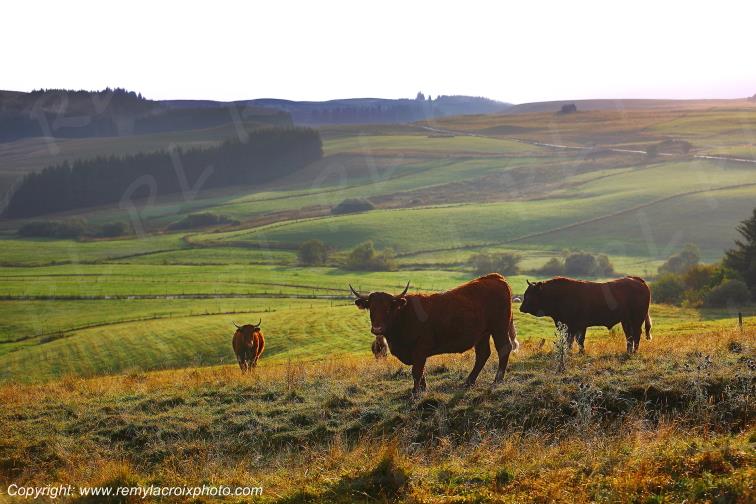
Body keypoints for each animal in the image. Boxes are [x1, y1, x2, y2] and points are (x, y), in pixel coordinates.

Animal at [350, 273, 519, 396]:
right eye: (371, 308)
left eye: (388, 309)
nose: (377, 329)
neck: (403, 315)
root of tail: (495, 277)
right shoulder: (416, 353)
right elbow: (421, 371)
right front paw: (423, 388)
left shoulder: (420, 348)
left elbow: (417, 371)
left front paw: (415, 392)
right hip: (482, 334)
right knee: (483, 354)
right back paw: (469, 381)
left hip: (499, 328)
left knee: (503, 349)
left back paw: (497, 380)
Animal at [519, 276, 652, 353]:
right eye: (525, 294)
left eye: (530, 295)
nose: (521, 308)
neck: (560, 295)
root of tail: (637, 280)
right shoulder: (575, 326)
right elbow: (576, 340)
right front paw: (578, 352)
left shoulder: (576, 325)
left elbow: (574, 340)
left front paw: (573, 352)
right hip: (626, 321)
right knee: (629, 335)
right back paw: (628, 351)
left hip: (637, 319)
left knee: (636, 334)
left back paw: (634, 352)